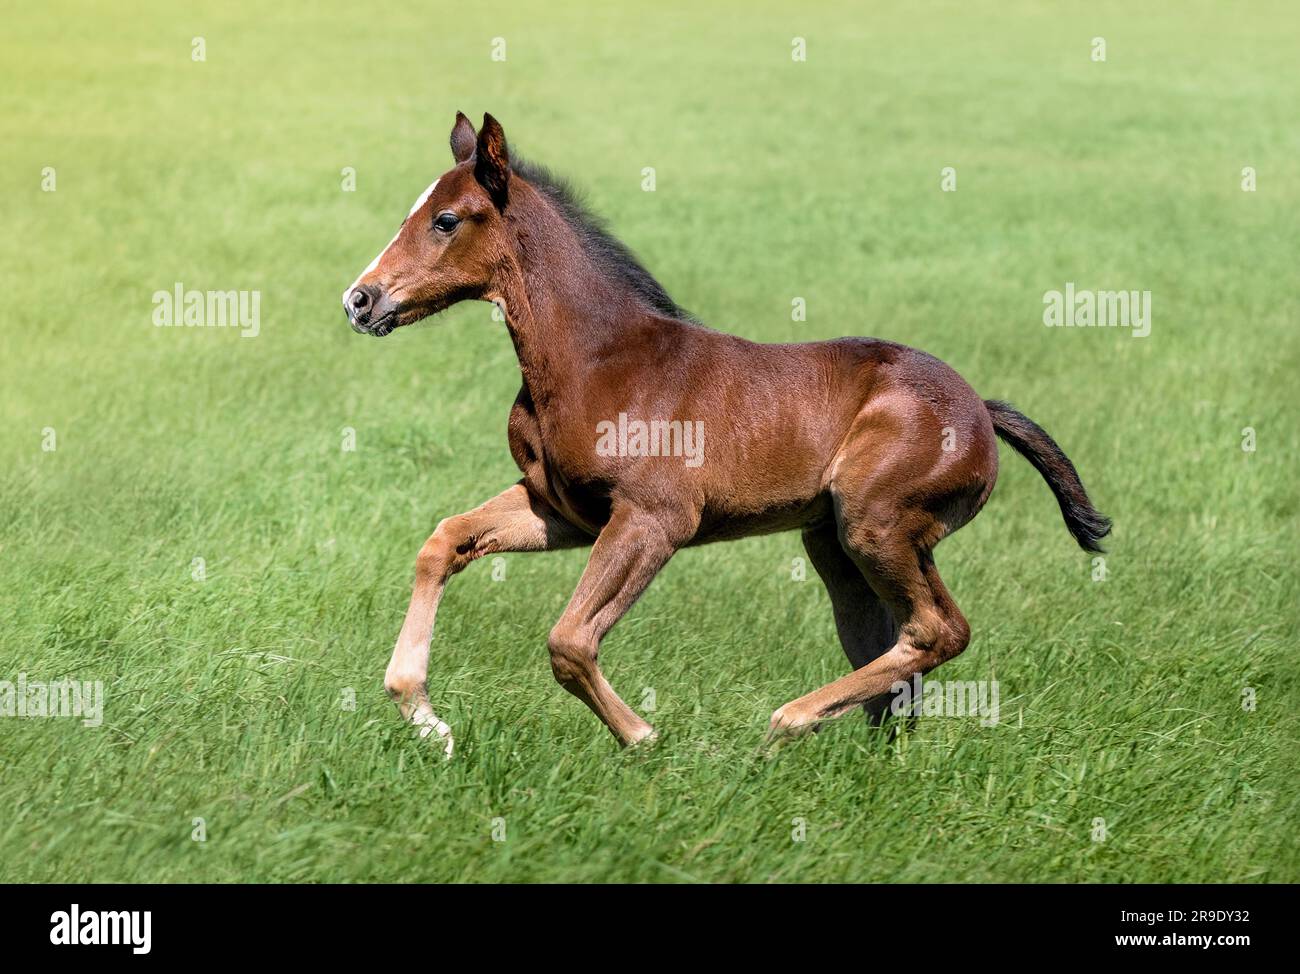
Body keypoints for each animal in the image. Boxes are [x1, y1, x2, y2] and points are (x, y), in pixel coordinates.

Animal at [338, 113, 1107, 754]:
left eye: (445, 219)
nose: (360, 300)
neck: (596, 359)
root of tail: (979, 407)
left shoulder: (654, 519)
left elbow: (569, 642)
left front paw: (645, 739)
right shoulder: (562, 512)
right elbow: (444, 543)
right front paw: (427, 719)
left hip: (878, 525)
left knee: (937, 630)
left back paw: (784, 726)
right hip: (835, 546)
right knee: (892, 658)